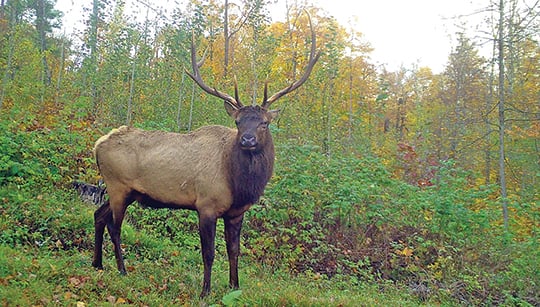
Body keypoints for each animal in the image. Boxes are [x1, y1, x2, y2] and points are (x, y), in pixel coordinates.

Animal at [92, 15, 320, 298]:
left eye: (264, 123)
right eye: (238, 122)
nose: (247, 140)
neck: (239, 185)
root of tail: (97, 145)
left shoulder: (236, 212)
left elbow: (234, 251)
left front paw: (235, 287)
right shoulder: (206, 205)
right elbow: (209, 253)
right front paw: (205, 292)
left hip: (129, 192)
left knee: (98, 215)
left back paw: (97, 264)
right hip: (118, 186)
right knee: (114, 225)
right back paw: (121, 269)